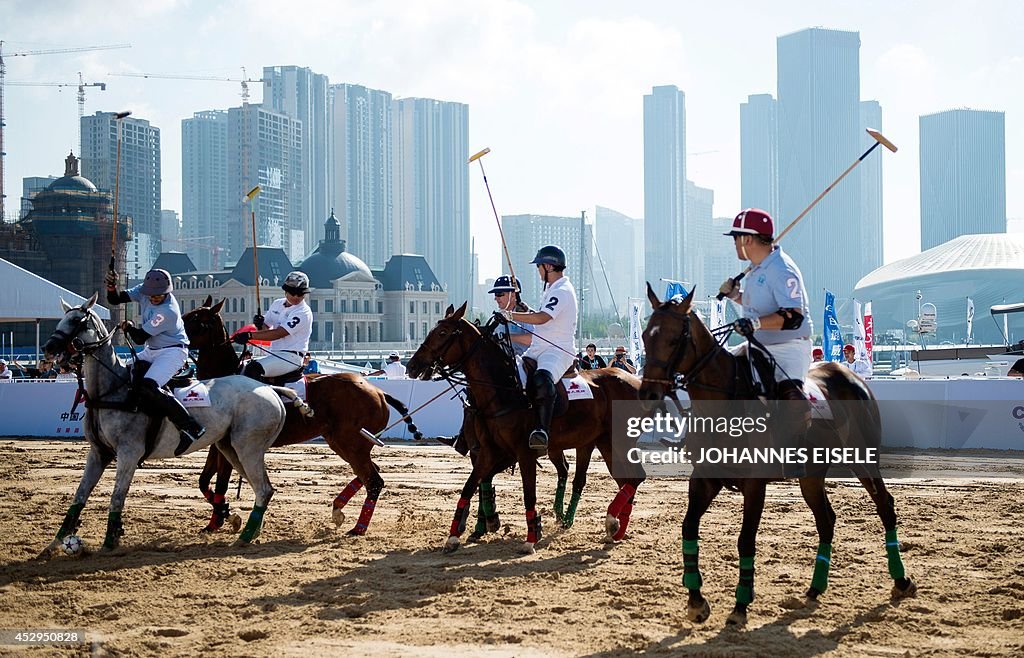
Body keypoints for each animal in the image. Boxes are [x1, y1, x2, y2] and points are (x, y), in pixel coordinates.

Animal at [37, 292, 288, 556]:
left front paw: (110, 543)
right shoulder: (98, 453)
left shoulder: (129, 452)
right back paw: (248, 530)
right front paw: (53, 544)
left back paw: (244, 537)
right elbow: (79, 496)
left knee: (262, 489)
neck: (111, 390)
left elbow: (117, 497)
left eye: (78, 321)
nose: (48, 348)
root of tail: (269, 389)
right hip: (229, 447)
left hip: (247, 447)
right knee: (263, 489)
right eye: (62, 319)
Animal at [182, 296, 421, 536]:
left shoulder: (228, 446)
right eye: (185, 315)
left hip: (352, 443)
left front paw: (227, 517)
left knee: (374, 480)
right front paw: (217, 520)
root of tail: (379, 392)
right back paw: (338, 510)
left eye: (195, 319)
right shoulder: (217, 444)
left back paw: (357, 528)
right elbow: (203, 481)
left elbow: (220, 484)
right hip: (341, 441)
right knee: (369, 475)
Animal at [403, 304, 643, 556]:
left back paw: (611, 521)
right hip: (604, 442)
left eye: (442, 333)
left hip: (619, 440)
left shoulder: (524, 453)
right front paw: (454, 536)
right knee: (623, 480)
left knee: (635, 477)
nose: (412, 366)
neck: (502, 389)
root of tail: (635, 381)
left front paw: (530, 538)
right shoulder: (488, 452)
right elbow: (470, 486)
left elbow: (529, 494)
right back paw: (616, 528)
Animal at [634, 284, 917, 626]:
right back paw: (815, 587)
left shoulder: (755, 484)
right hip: (812, 474)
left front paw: (740, 605)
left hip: (862, 457)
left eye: (675, 339)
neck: (726, 401)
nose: (648, 394)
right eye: (646, 335)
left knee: (884, 505)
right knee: (826, 519)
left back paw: (901, 580)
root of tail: (851, 376)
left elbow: (745, 540)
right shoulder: (704, 479)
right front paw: (696, 601)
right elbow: (688, 528)